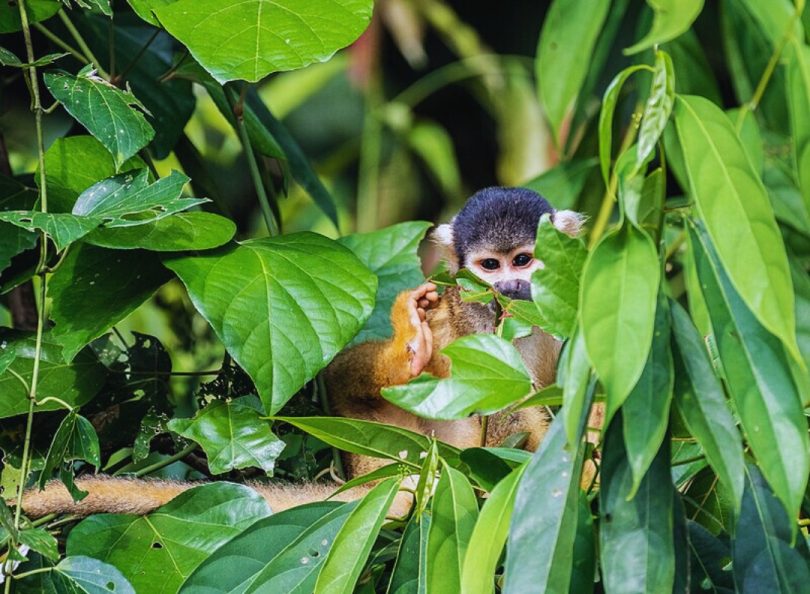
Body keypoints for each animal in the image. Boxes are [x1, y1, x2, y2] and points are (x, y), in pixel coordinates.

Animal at [22, 187, 584, 516]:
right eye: (490, 266)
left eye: (523, 260)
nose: (509, 288)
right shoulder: (471, 310)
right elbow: (502, 406)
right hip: (396, 447)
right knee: (345, 376)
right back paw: (407, 349)